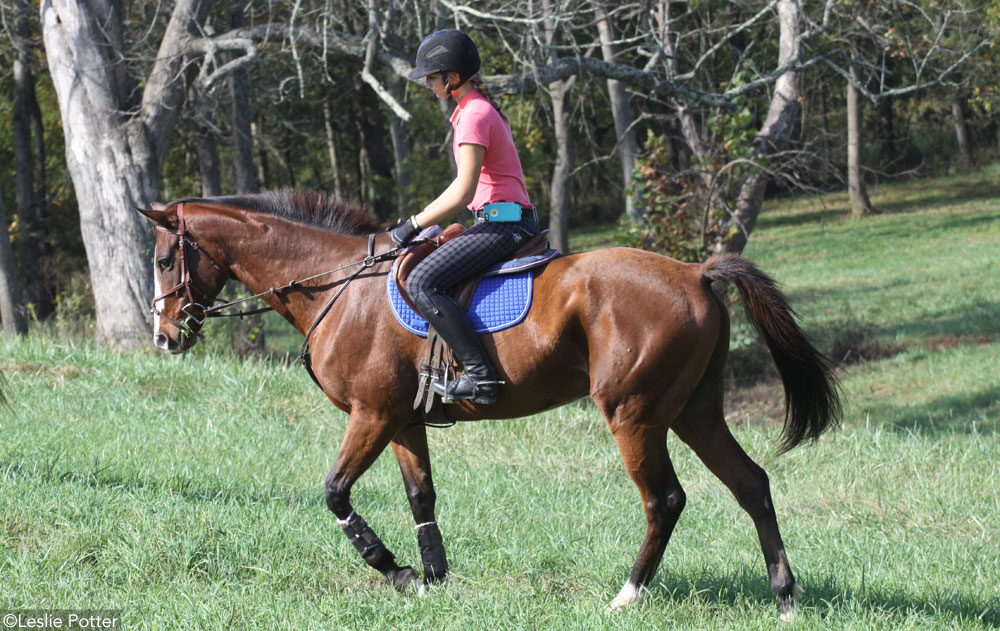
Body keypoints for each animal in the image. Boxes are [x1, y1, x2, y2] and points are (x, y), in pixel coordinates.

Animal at [139, 190, 836, 620]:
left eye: (166, 258)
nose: (164, 338)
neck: (337, 285)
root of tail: (695, 273)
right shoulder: (401, 421)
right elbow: (421, 497)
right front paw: (434, 580)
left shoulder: (371, 416)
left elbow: (335, 493)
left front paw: (393, 572)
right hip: (695, 412)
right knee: (751, 484)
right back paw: (785, 598)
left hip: (633, 415)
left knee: (665, 500)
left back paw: (627, 596)